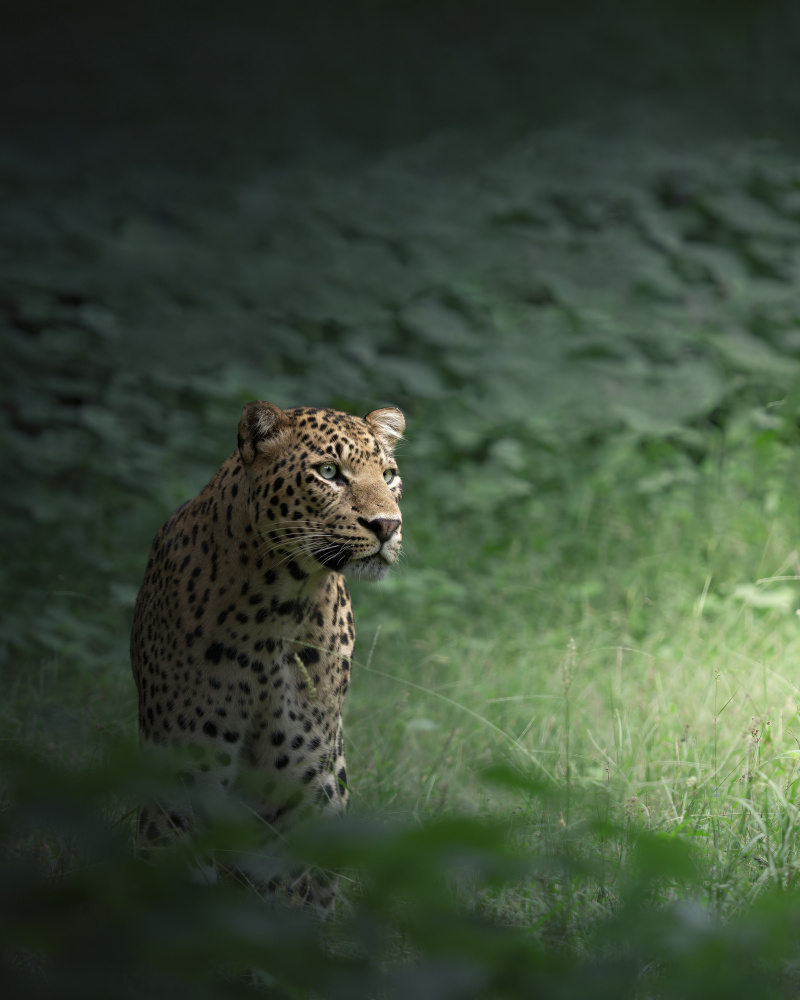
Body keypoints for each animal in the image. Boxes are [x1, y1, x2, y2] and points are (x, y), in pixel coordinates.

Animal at [130, 400, 405, 910]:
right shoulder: (181, 782)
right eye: (329, 472)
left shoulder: (299, 786)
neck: (277, 605)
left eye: (389, 474)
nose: (387, 525)